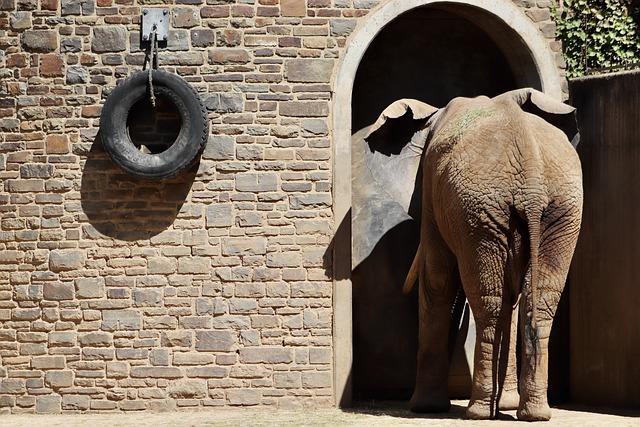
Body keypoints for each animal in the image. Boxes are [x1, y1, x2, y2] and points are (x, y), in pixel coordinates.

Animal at [362, 89, 584, 422]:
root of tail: (531, 176)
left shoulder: (432, 188)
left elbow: (438, 278)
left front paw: (424, 408)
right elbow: (510, 296)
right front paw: (505, 406)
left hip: (482, 209)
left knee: (489, 300)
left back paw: (479, 411)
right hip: (554, 210)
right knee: (536, 301)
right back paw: (533, 413)